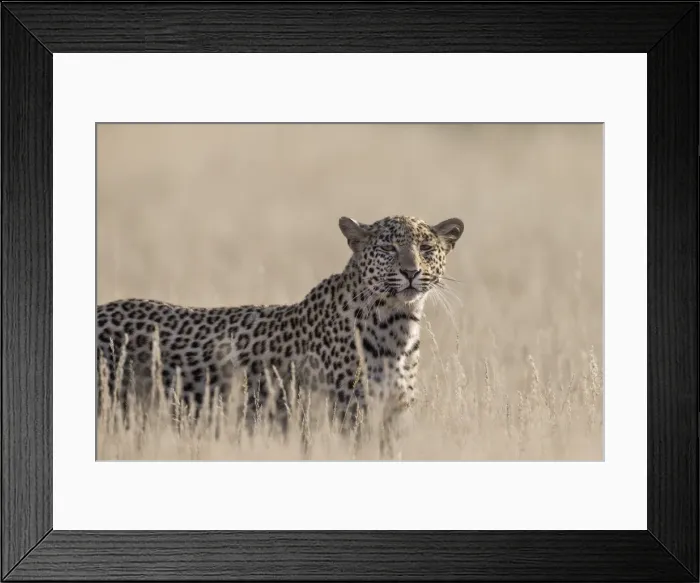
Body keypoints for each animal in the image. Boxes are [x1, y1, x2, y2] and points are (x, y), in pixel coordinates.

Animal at [96, 215, 464, 457]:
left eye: (426, 248)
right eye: (388, 247)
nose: (411, 271)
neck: (397, 326)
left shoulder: (391, 420)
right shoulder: (347, 420)